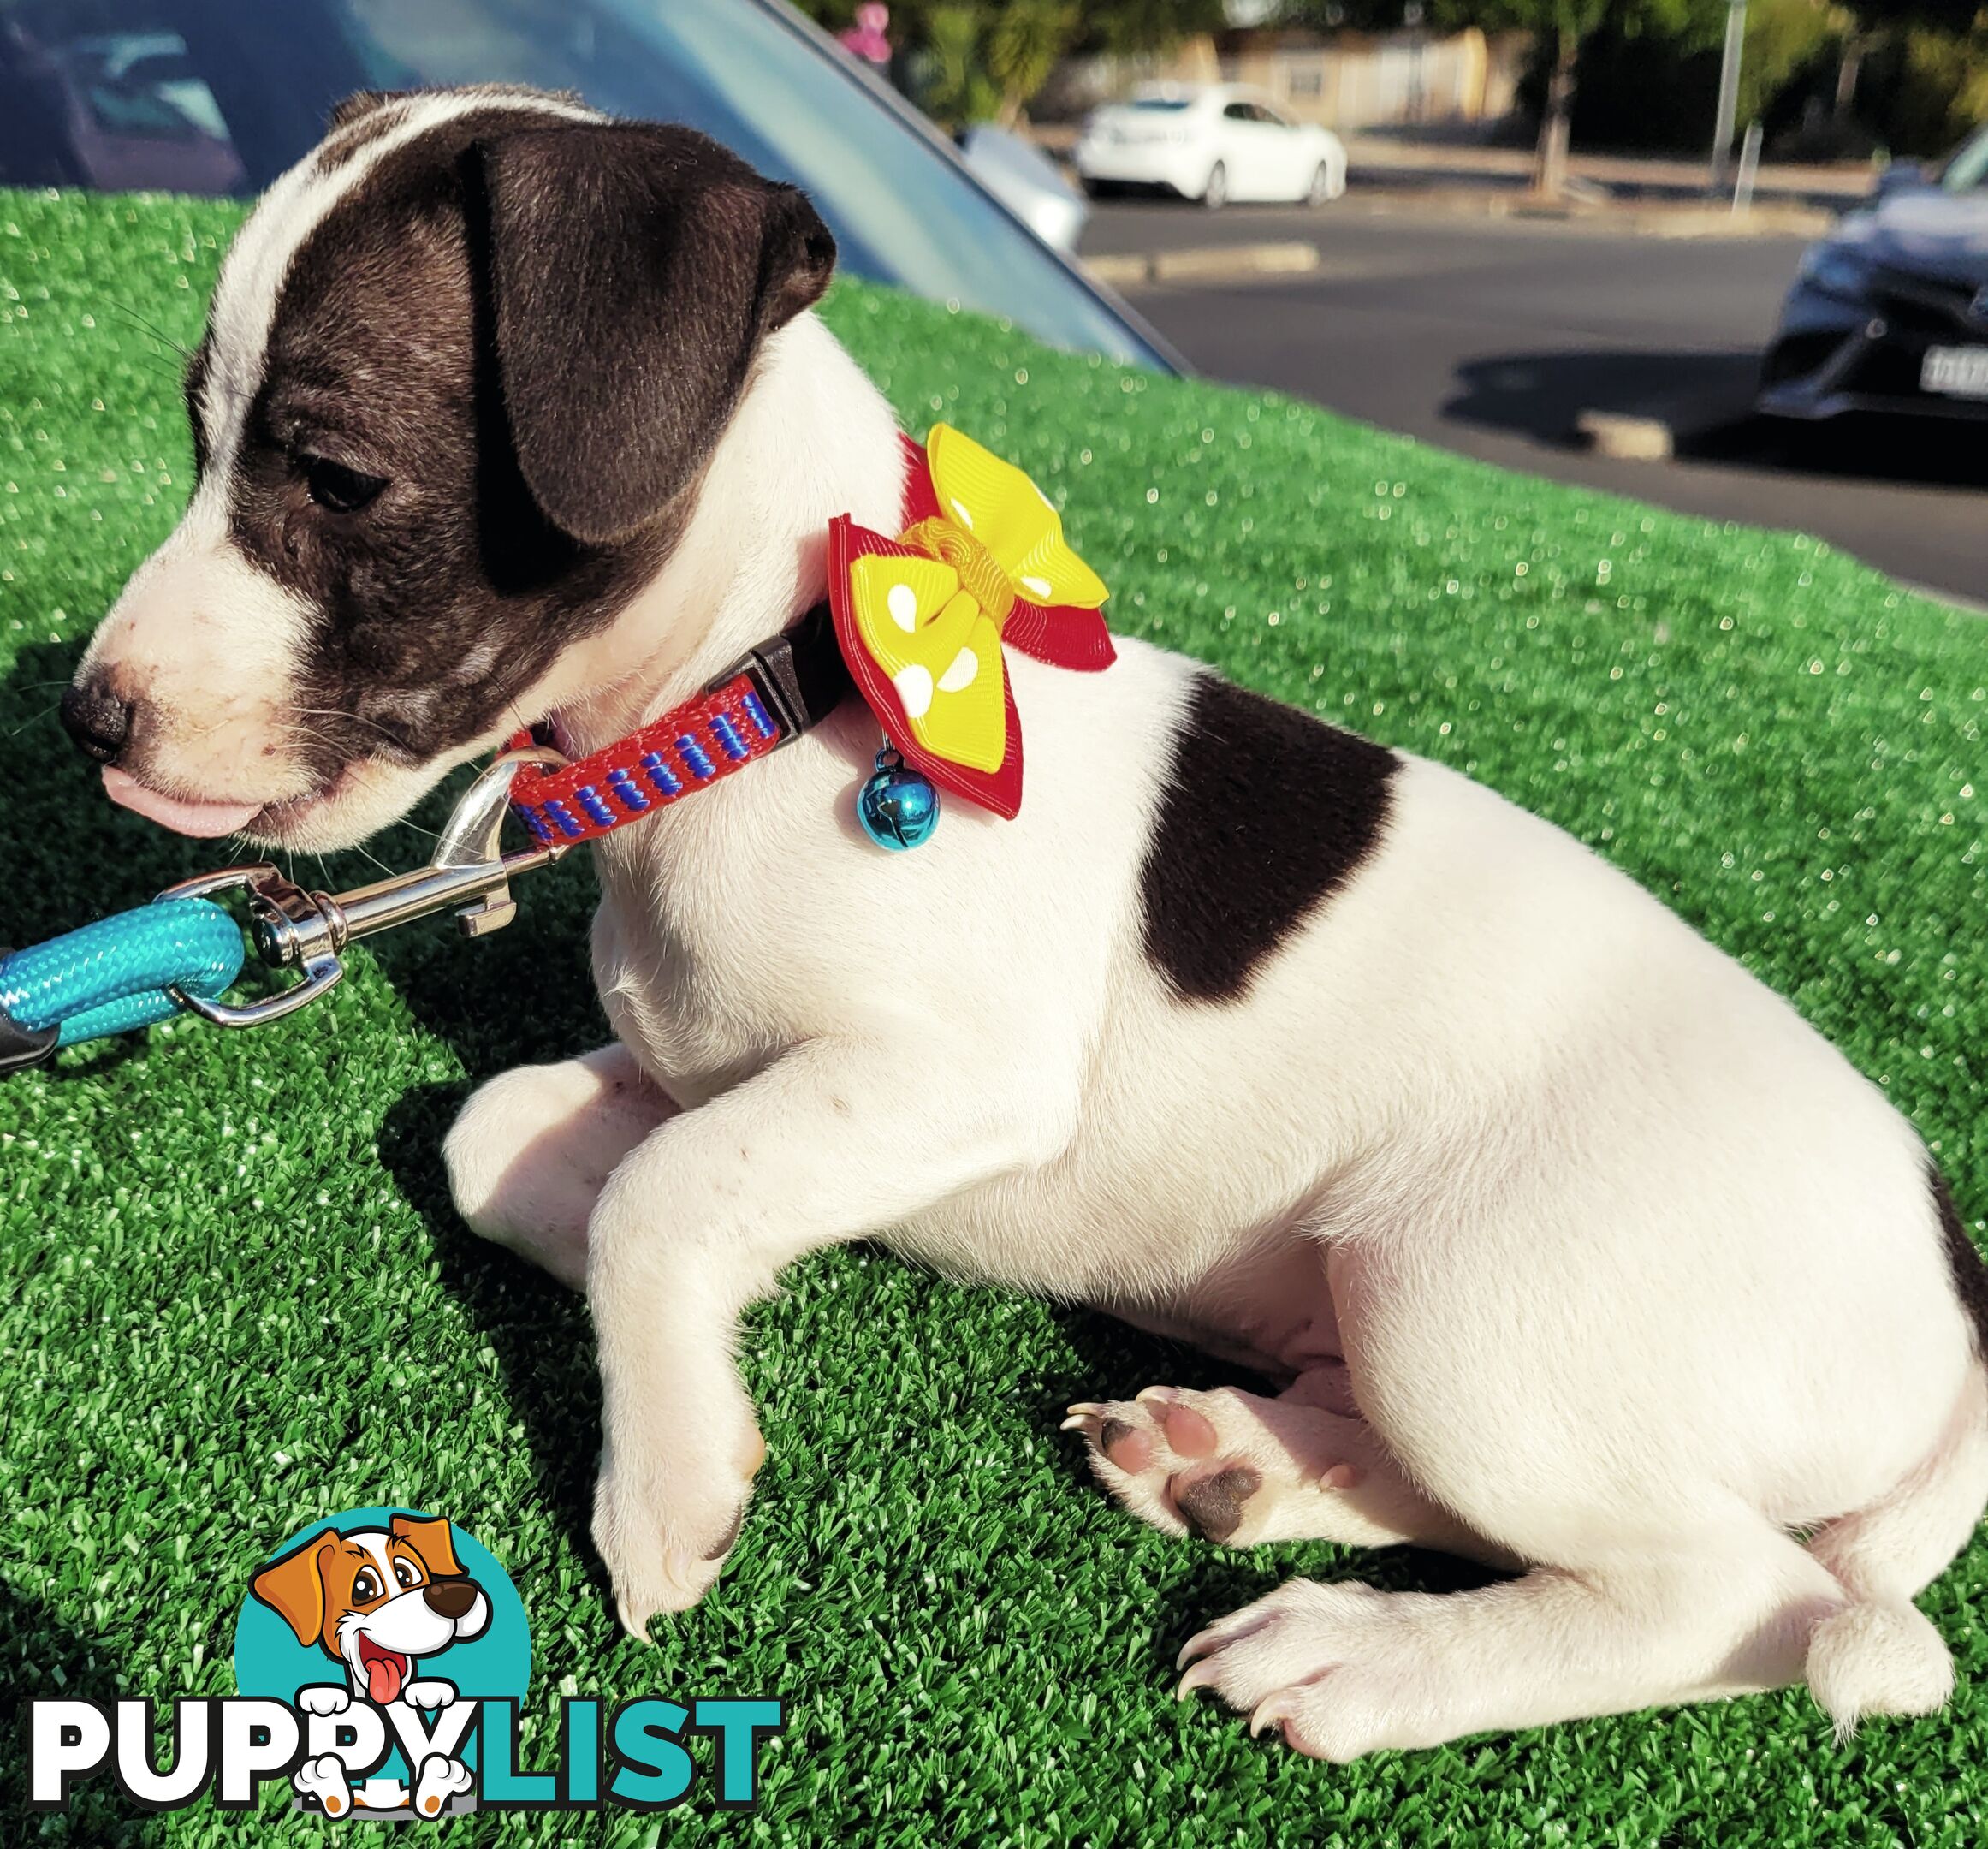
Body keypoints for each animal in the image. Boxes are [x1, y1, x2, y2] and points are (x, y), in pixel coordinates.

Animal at [66, 90, 1988, 1757]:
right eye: (196, 435)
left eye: (331, 473)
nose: (91, 719)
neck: (769, 691)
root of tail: (1955, 1308)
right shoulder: (715, 1068)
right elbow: (521, 1145)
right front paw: (677, 1318)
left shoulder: (961, 1075)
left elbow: (663, 1198)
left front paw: (665, 1467)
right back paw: (1239, 1463)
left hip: (1477, 1307)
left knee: (1736, 1599)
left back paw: (1370, 1664)